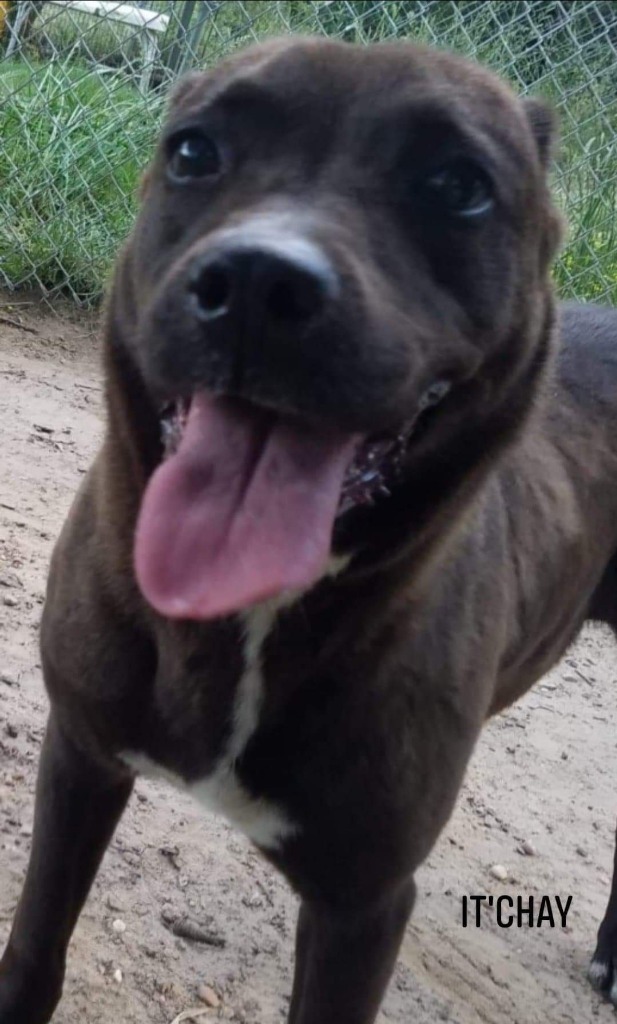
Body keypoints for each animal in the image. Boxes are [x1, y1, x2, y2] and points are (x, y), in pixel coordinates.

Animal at [1, 34, 617, 1024]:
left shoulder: (361, 904)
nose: (257, 283)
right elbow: (32, 952)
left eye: (457, 186)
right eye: (193, 152)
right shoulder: (81, 759)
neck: (241, 626)